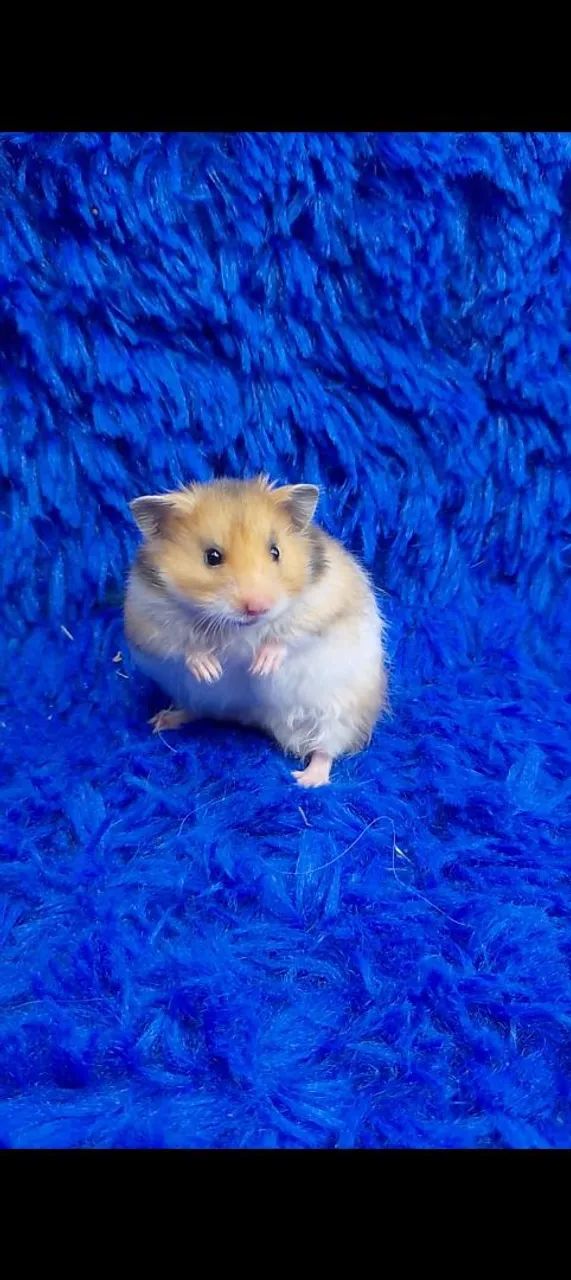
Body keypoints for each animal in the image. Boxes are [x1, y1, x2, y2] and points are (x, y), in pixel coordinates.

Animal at [124, 476, 387, 787]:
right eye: (212, 557)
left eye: (276, 551)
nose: (257, 607)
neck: (238, 627)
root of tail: (248, 717)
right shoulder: (146, 620)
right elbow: (182, 645)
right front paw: (211, 670)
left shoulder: (323, 606)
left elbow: (290, 635)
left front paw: (260, 666)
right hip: (191, 694)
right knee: (194, 709)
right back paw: (162, 721)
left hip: (338, 713)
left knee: (325, 749)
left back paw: (306, 780)